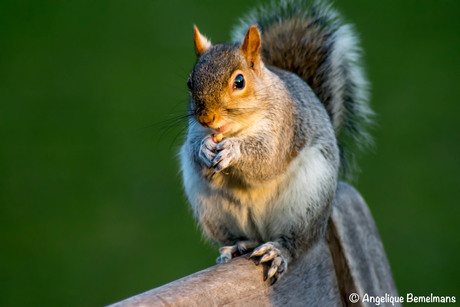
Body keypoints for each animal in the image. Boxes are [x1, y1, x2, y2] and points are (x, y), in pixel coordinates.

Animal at [178, 0, 372, 286]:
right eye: (190, 82)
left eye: (239, 81)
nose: (206, 118)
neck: (238, 130)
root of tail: (262, 234)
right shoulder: (195, 132)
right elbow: (195, 152)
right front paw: (204, 150)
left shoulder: (283, 127)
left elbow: (268, 159)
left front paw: (233, 150)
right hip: (213, 211)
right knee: (241, 237)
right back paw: (237, 246)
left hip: (308, 203)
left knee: (295, 242)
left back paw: (276, 251)